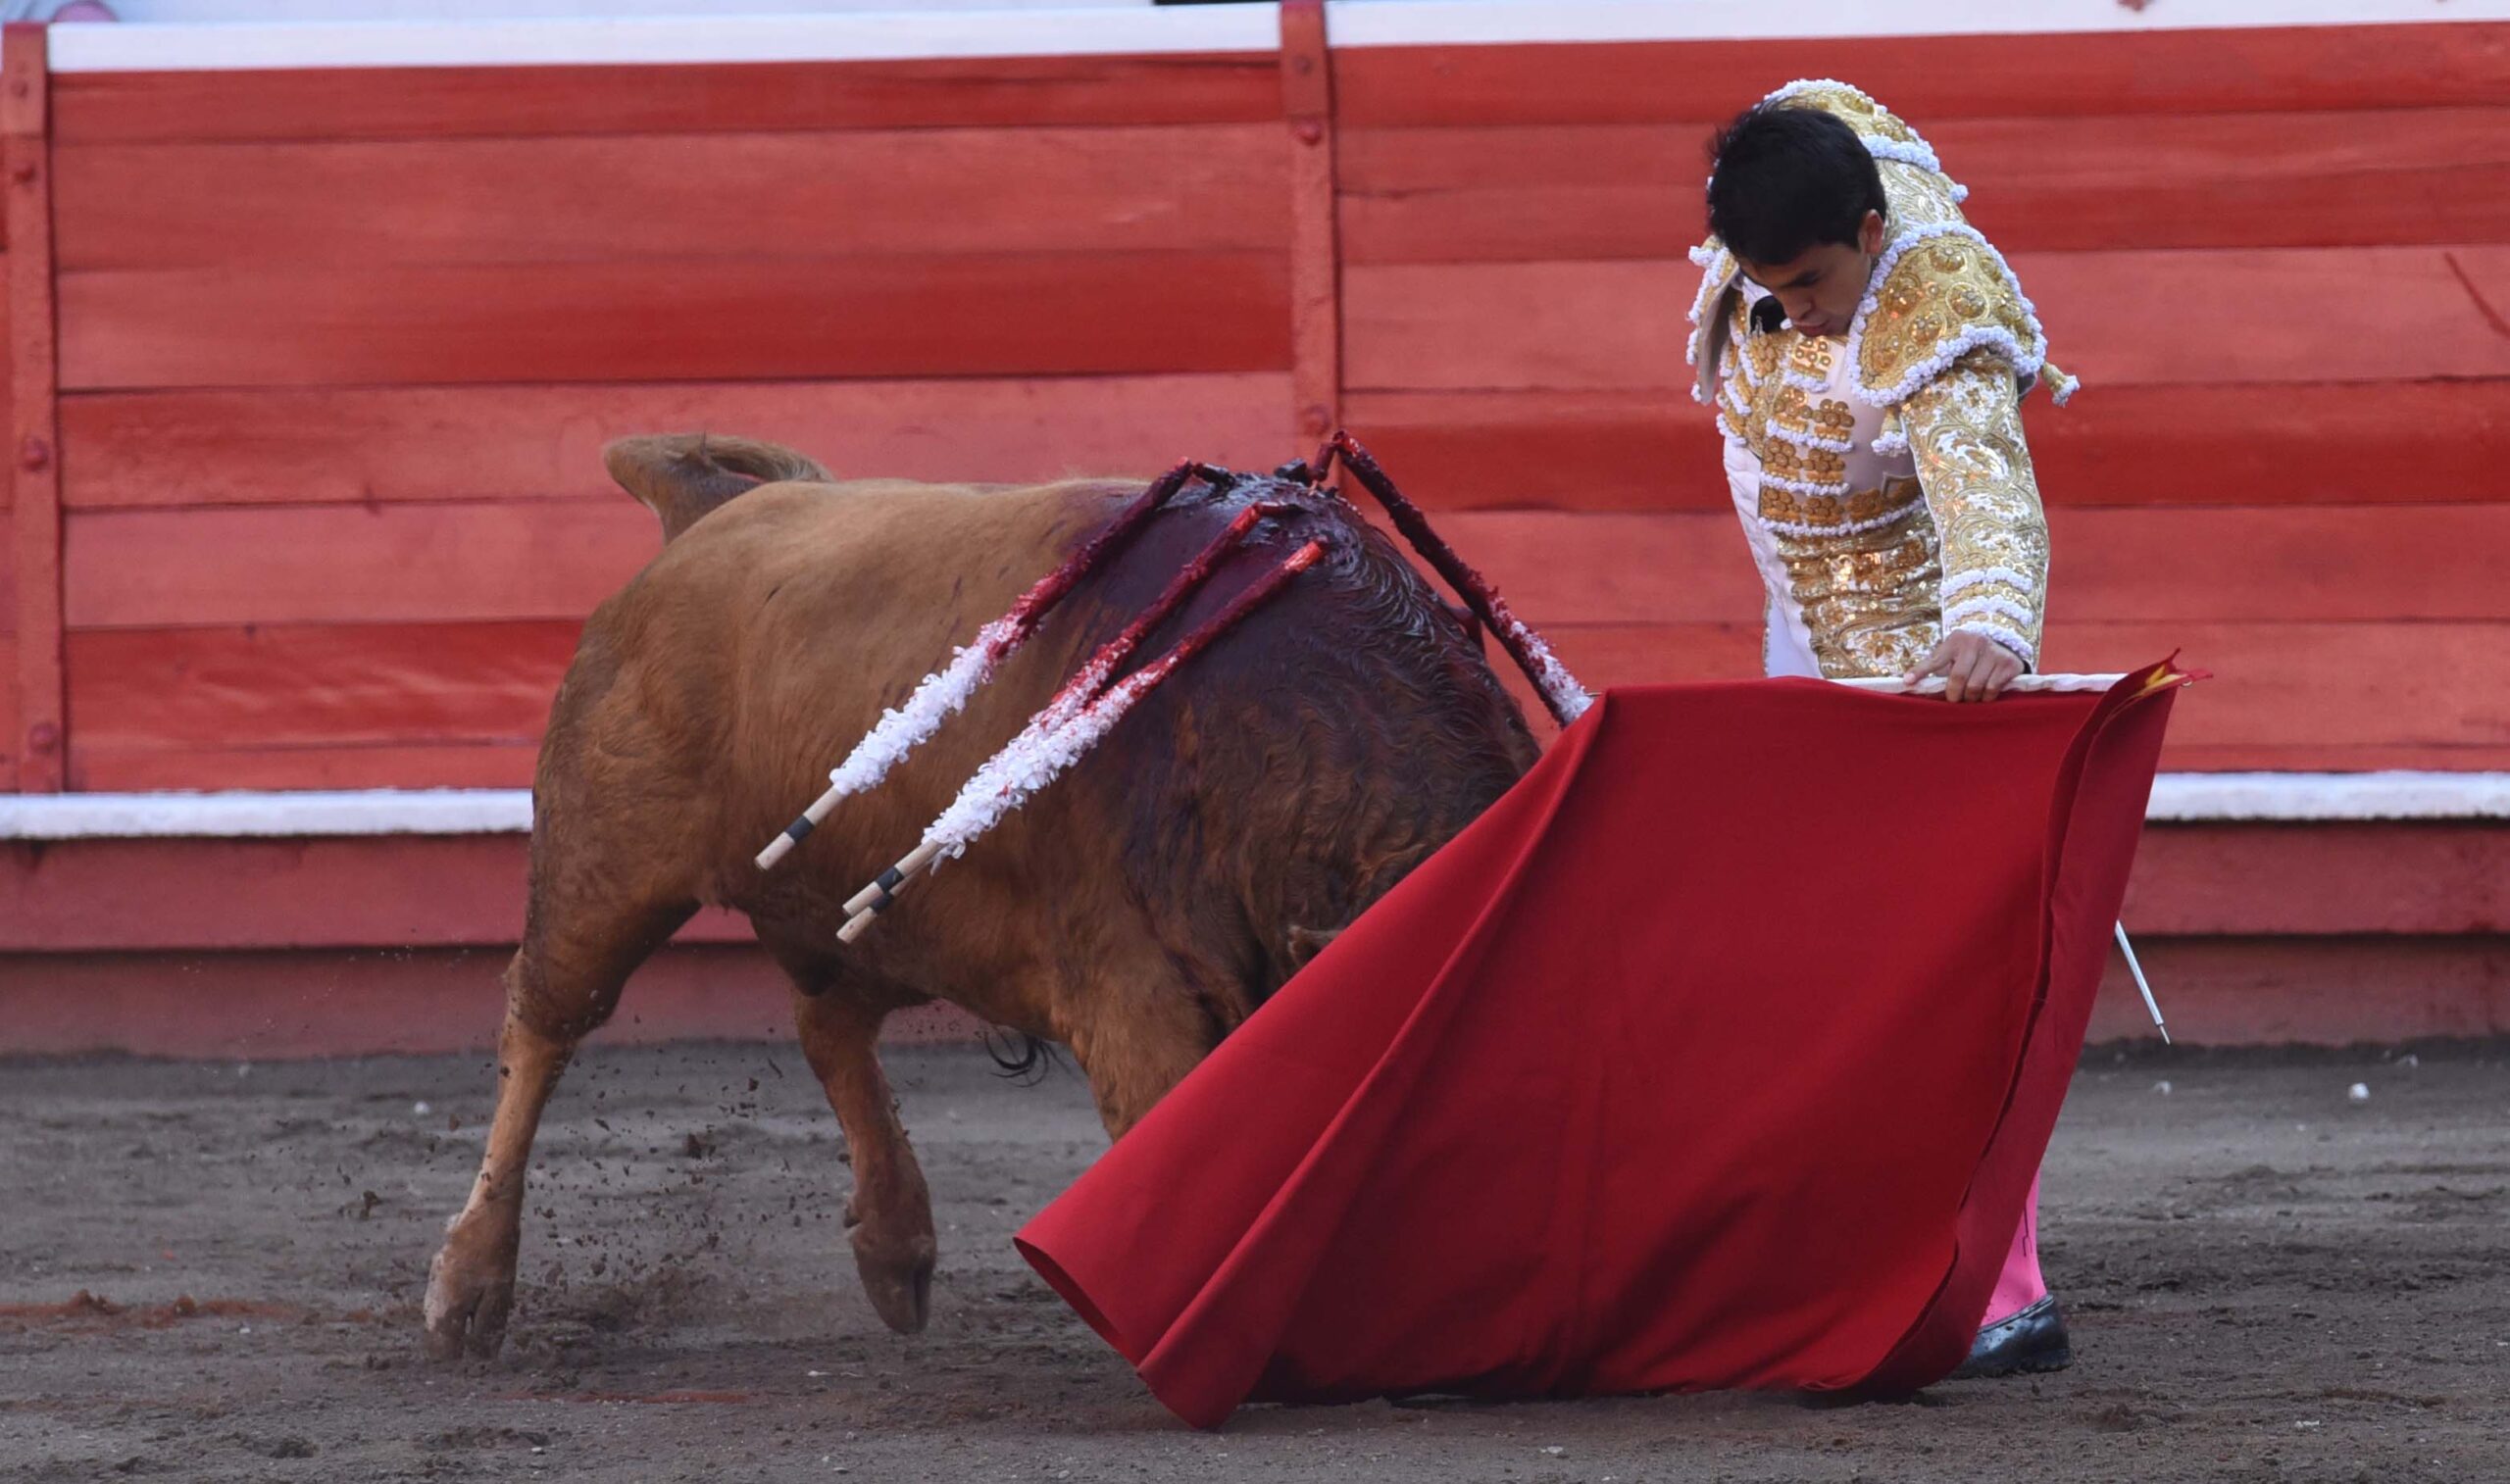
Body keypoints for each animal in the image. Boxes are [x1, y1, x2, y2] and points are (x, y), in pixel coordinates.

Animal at [422, 434, 1540, 1360]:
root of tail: (715, 512)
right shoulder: (1134, 991)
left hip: (889, 918)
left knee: (828, 1020)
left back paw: (895, 1248)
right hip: (606, 865)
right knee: (545, 1022)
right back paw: (469, 1288)